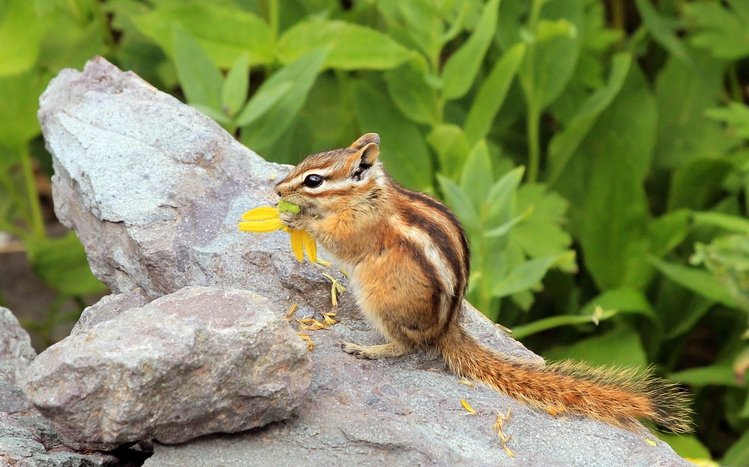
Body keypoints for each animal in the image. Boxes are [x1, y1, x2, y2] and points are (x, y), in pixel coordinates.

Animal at [275, 133, 692, 433]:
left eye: (314, 180)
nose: (278, 189)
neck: (368, 194)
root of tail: (446, 329)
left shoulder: (360, 227)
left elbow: (337, 240)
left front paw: (298, 218)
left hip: (380, 299)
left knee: (408, 346)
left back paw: (368, 349)